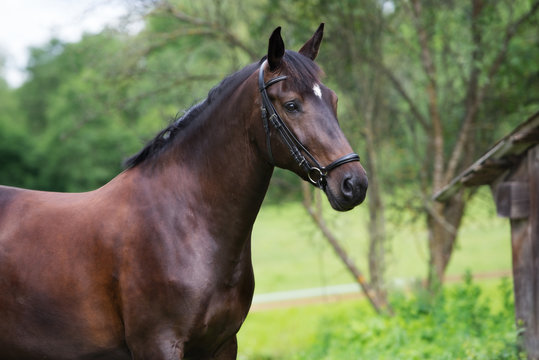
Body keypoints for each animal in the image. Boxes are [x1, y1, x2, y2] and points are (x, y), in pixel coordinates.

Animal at [0, 23, 368, 358]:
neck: (186, 223)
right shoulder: (158, 345)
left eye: (334, 100)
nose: (354, 184)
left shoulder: (222, 345)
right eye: (291, 105)